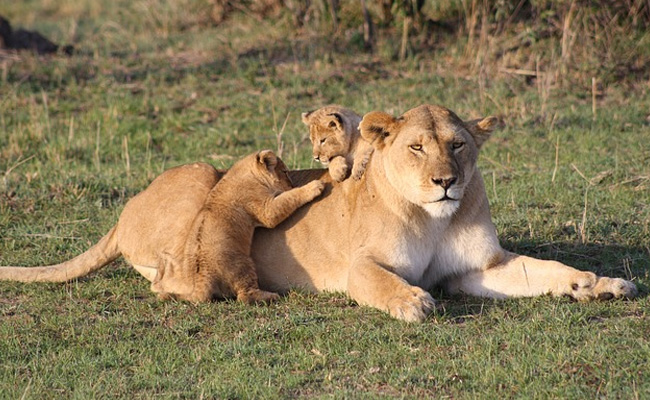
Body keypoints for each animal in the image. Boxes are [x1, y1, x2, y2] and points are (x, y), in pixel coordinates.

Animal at [152, 150, 325, 304]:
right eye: (285, 172)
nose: (292, 184)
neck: (243, 172)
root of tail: (203, 278)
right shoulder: (265, 209)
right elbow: (288, 199)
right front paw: (315, 186)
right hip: (243, 264)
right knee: (244, 296)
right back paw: (271, 296)